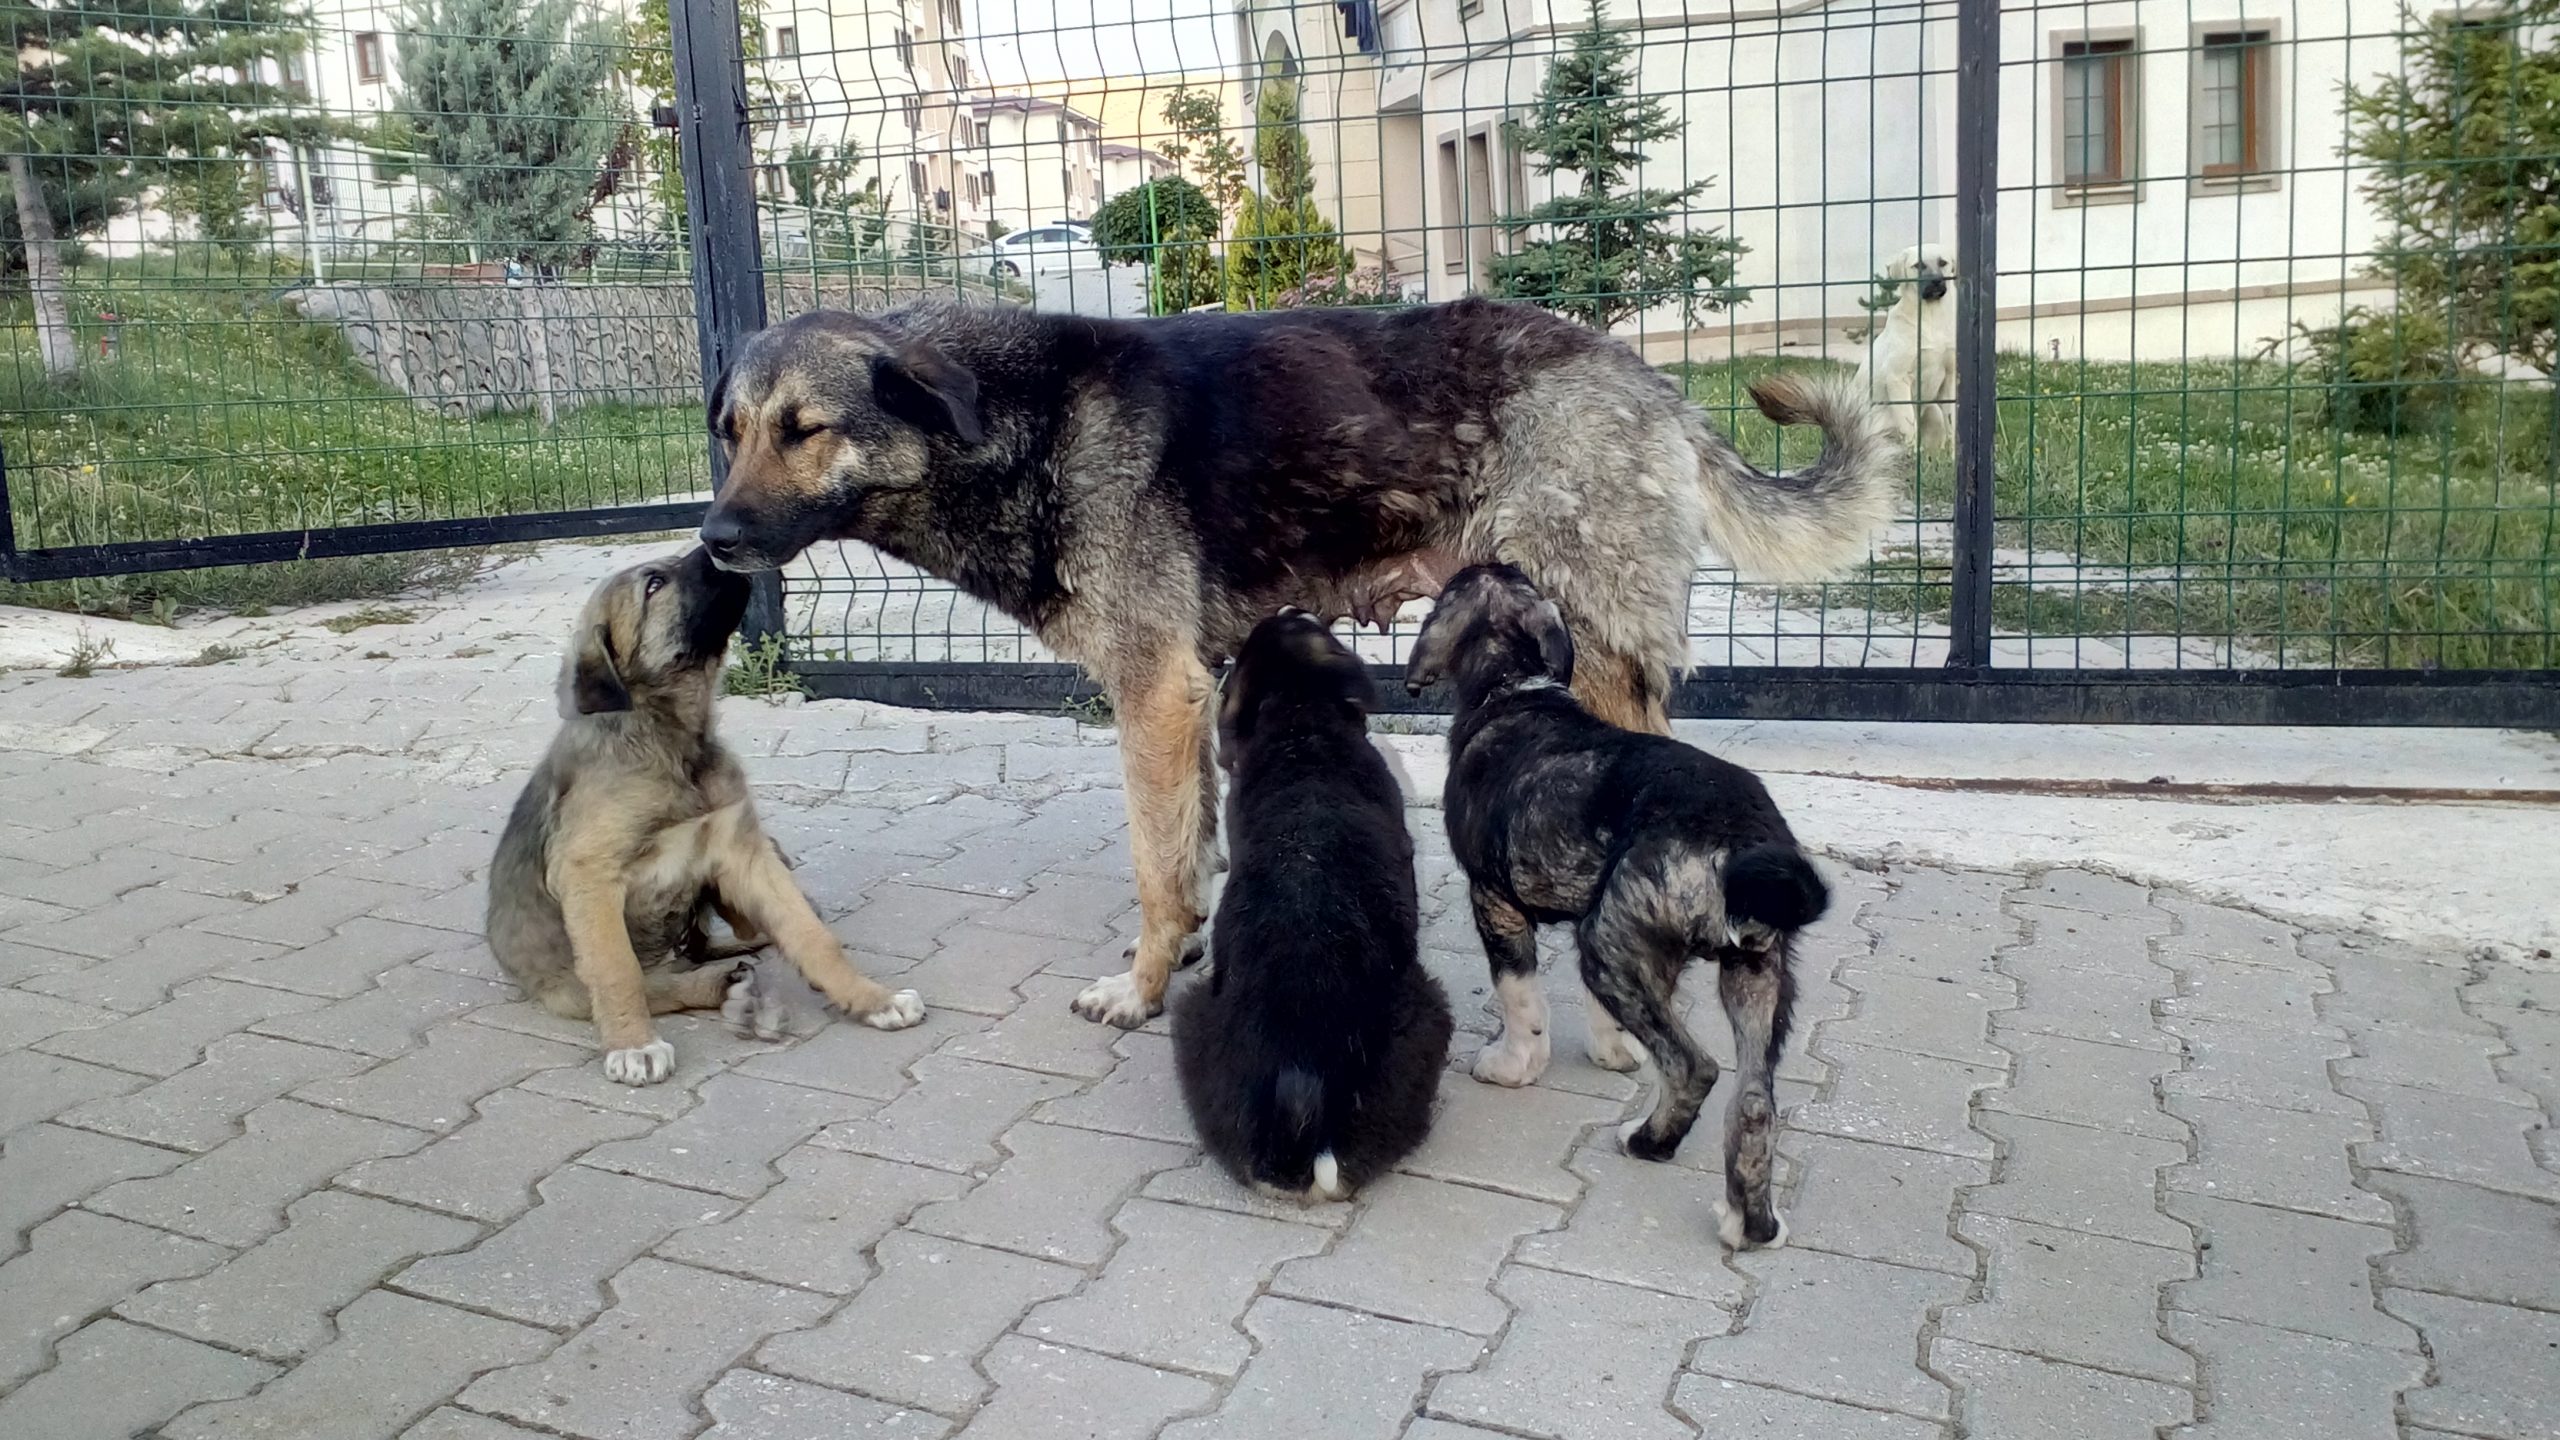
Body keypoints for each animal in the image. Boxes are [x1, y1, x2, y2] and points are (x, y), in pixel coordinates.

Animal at [483, 543, 926, 1081]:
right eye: (653, 584)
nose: (716, 545)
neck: (674, 741)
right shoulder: (588, 873)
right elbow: (618, 970)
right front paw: (633, 1044)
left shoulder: (745, 853)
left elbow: (809, 933)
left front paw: (872, 999)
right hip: (564, 985)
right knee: (651, 982)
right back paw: (720, 988)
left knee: (737, 938)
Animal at [701, 297, 1904, 1024]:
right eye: (729, 430)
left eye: (805, 428)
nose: (712, 541)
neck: (1017, 425)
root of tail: (1652, 386)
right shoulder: (1185, 700)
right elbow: (1188, 858)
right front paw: (1182, 958)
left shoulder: (1152, 694)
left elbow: (1155, 870)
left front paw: (1139, 993)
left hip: (1599, 659)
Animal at [1413, 561, 1832, 1245]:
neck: (1514, 687)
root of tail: (1741, 840)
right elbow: (1601, 1015)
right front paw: (1613, 1053)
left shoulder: (1494, 899)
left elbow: (1518, 993)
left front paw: (1515, 1064)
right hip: (1750, 971)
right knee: (1753, 1103)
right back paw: (1751, 1224)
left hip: (1607, 947)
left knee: (1694, 1068)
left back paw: (1649, 1143)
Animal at [1863, 240, 1955, 445]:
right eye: (1918, 265)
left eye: (1943, 263)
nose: (1936, 281)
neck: (1930, 316)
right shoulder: (1897, 378)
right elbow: (1908, 425)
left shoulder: (1949, 378)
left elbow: (1953, 425)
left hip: (1934, 414)